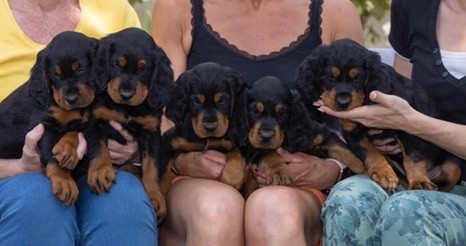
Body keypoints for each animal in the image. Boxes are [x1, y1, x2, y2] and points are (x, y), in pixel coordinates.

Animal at [0, 31, 98, 205]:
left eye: (80, 69)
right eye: (55, 75)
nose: (71, 99)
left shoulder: (83, 122)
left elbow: (73, 132)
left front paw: (67, 150)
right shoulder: (44, 125)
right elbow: (51, 156)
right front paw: (64, 182)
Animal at [86, 27, 175, 225]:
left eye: (143, 69)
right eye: (116, 65)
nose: (126, 94)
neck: (126, 108)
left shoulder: (151, 134)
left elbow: (151, 167)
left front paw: (155, 198)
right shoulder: (96, 120)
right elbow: (99, 148)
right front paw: (101, 172)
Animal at [161, 62, 248, 195]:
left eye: (222, 100)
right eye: (197, 101)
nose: (210, 127)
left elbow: (238, 152)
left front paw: (232, 178)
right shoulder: (169, 141)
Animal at [294, 39, 462, 192]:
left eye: (357, 77)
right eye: (330, 76)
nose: (343, 102)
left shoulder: (406, 124)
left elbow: (412, 156)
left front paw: (419, 180)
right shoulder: (352, 133)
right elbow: (370, 152)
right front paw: (383, 173)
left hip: (454, 165)